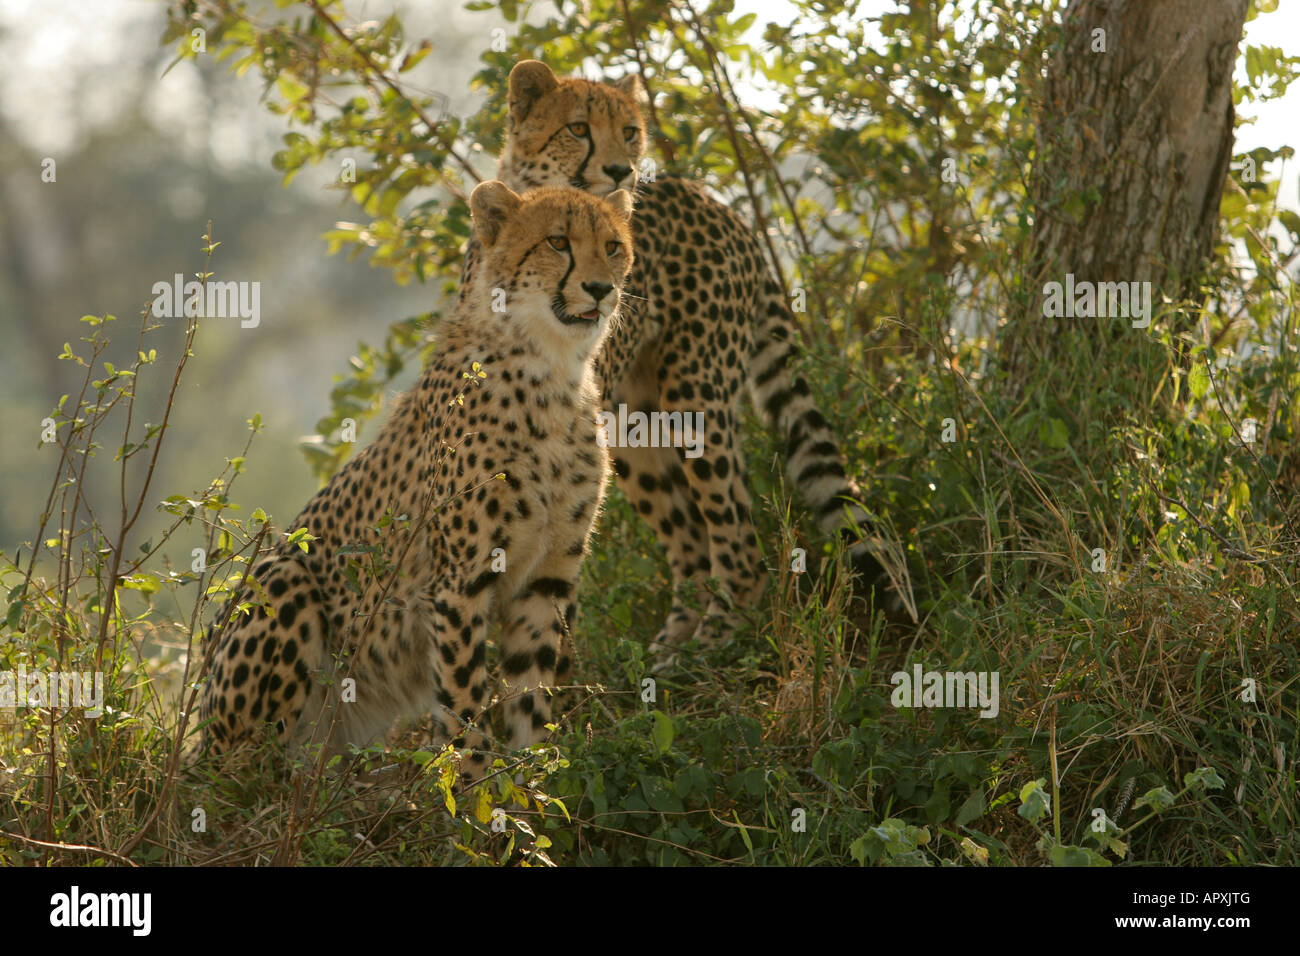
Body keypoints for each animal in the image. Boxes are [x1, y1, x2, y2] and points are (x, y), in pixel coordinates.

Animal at [199, 180, 635, 782]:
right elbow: (463, 691)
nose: (599, 287)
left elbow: (531, 689)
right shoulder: (461, 578)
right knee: (241, 774)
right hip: (281, 578)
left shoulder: (547, 578)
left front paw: (531, 776)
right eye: (557, 242)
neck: (552, 369)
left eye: (613, 247)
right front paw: (471, 780)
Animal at [468, 59, 902, 667]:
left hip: (696, 397)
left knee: (736, 538)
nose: (620, 170)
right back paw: (674, 641)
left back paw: (718, 636)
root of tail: (719, 203)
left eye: (629, 131)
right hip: (630, 421)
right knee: (690, 543)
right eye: (578, 128)